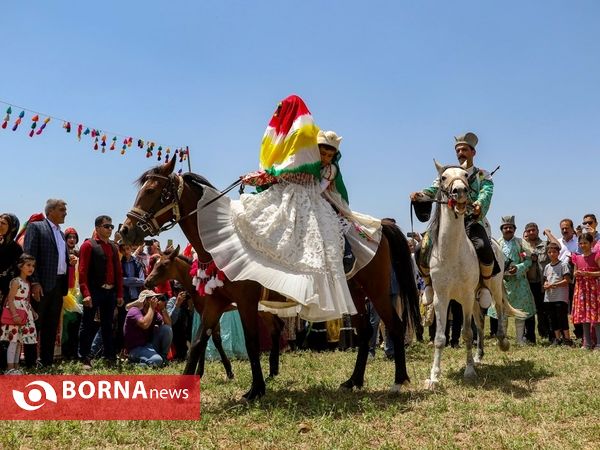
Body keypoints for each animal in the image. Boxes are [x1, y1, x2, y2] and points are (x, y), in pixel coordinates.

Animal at [145, 246, 286, 380]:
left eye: (164, 264)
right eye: (155, 263)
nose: (147, 281)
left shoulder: (213, 310)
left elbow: (211, 340)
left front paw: (226, 371)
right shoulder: (205, 312)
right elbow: (211, 339)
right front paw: (206, 372)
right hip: (266, 308)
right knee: (277, 327)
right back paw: (273, 370)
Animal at [422, 162, 520, 390]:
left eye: (466, 176)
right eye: (443, 177)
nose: (459, 192)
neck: (452, 252)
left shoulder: (465, 297)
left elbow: (467, 333)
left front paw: (468, 371)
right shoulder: (441, 298)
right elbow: (440, 337)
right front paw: (434, 376)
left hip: (492, 288)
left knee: (499, 310)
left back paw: (502, 341)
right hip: (475, 298)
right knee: (481, 323)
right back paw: (478, 355)